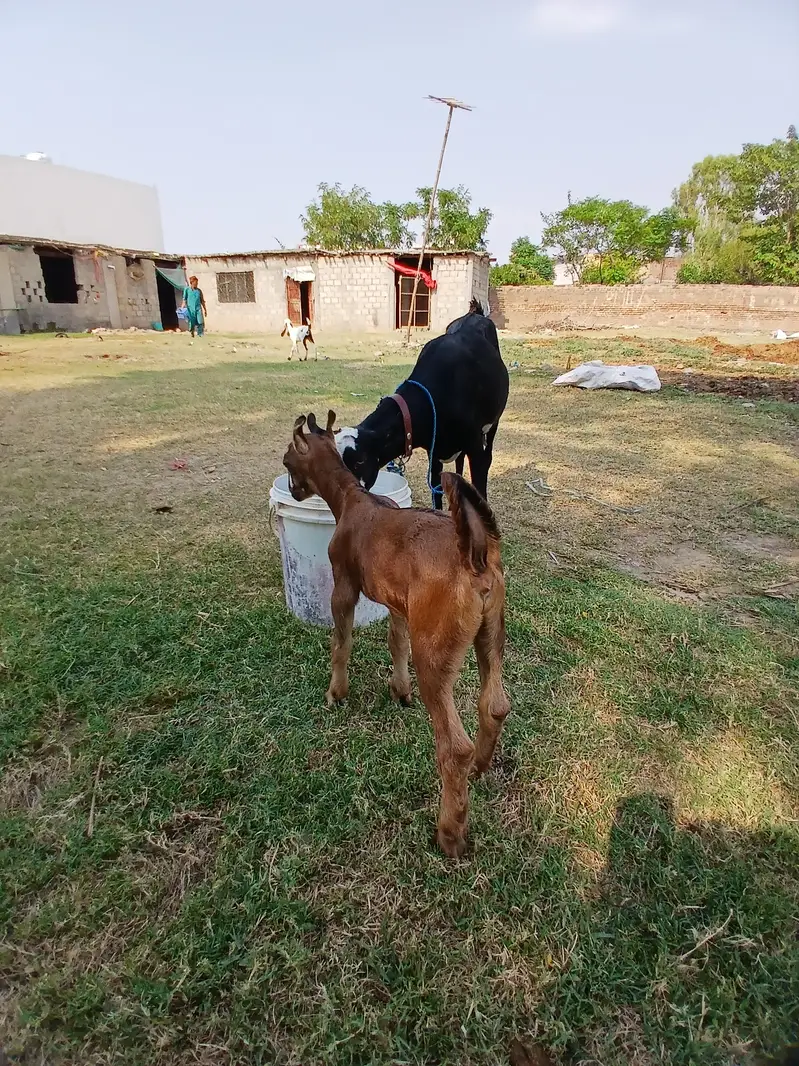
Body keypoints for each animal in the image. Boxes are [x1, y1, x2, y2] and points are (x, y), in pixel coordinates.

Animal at [283, 410, 510, 858]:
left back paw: (450, 832)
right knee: (494, 705)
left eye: (286, 460)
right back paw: (479, 768)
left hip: (435, 654)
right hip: (490, 636)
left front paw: (336, 693)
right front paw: (400, 690)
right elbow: (396, 643)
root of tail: (475, 555)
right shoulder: (398, 604)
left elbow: (341, 642)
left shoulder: (343, 586)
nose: (293, 490)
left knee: (452, 746)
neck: (353, 498)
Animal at [335, 299, 508, 508]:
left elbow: (480, 488)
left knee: (487, 455)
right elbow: (436, 492)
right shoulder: (434, 452)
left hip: (493, 423)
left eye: (359, 461)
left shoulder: (474, 448)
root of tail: (475, 314)